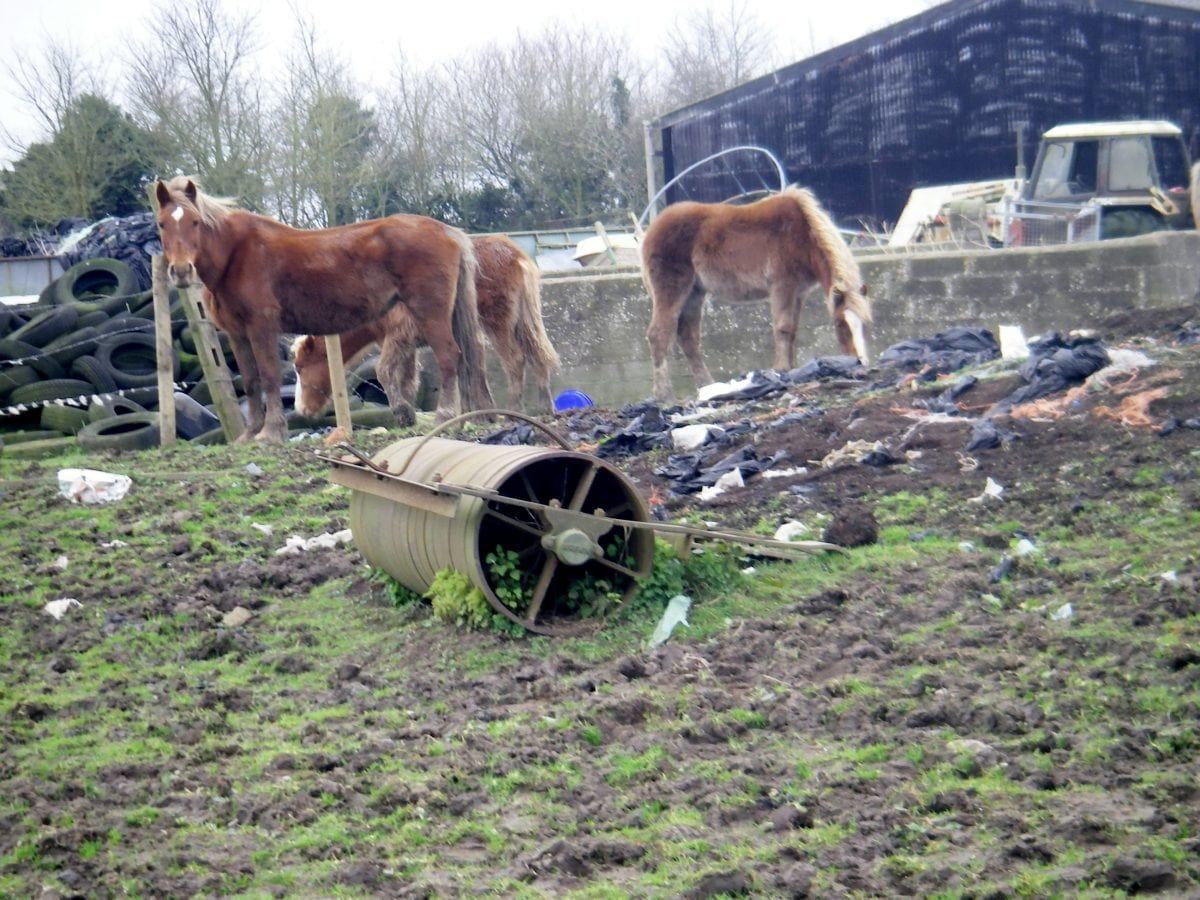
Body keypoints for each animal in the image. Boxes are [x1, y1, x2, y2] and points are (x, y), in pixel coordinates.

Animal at [154, 177, 492, 444]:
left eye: (195, 222)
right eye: (162, 224)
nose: (181, 271)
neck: (236, 255)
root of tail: (447, 231)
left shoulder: (261, 327)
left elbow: (268, 376)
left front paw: (271, 432)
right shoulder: (237, 333)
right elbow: (250, 381)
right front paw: (250, 434)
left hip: (431, 312)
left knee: (449, 356)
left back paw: (445, 416)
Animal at [292, 236, 559, 427]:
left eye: (299, 368)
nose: (301, 409)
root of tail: (517, 255)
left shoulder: (399, 336)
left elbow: (384, 371)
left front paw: (403, 412)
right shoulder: (410, 345)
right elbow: (410, 380)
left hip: (498, 322)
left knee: (515, 359)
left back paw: (515, 411)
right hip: (524, 320)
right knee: (538, 355)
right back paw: (545, 407)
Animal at [643, 187, 878, 400]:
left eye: (866, 325)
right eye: (840, 324)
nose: (860, 362)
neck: (802, 234)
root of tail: (652, 229)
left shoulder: (799, 292)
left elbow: (792, 330)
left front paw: (790, 370)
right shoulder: (783, 285)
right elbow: (783, 327)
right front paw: (781, 370)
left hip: (695, 292)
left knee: (688, 336)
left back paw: (708, 386)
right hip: (672, 288)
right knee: (659, 334)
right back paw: (664, 395)